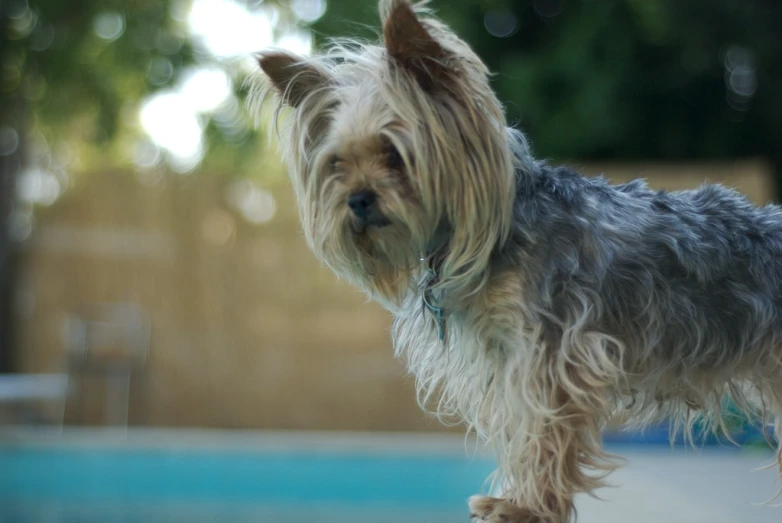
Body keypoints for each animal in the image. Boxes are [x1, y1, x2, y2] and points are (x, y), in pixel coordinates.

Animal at [251, 2, 782, 520]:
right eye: (336, 164)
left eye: (395, 154)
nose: (357, 201)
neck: (494, 231)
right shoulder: (506, 354)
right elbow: (520, 427)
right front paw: (518, 498)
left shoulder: (552, 349)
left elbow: (543, 430)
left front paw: (526, 506)